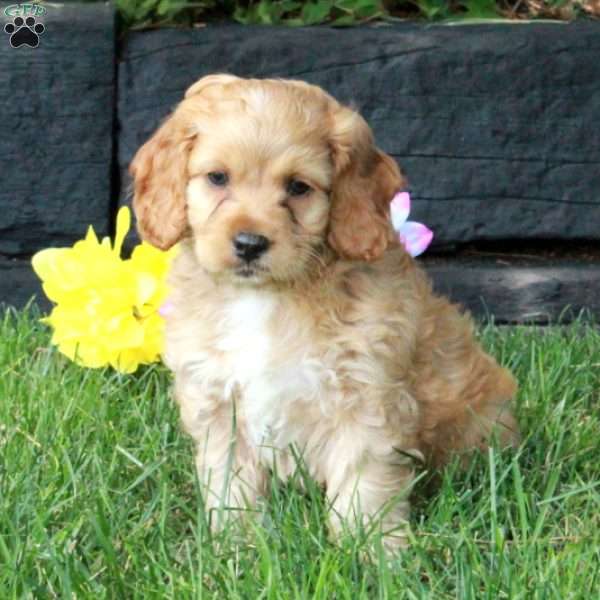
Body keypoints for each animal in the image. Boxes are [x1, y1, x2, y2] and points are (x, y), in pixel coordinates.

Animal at [130, 75, 516, 548]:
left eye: (298, 187)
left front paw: (371, 551)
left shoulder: (366, 398)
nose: (249, 244)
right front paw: (237, 545)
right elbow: (229, 480)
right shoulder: (219, 401)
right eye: (217, 178)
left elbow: (362, 482)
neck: (264, 298)